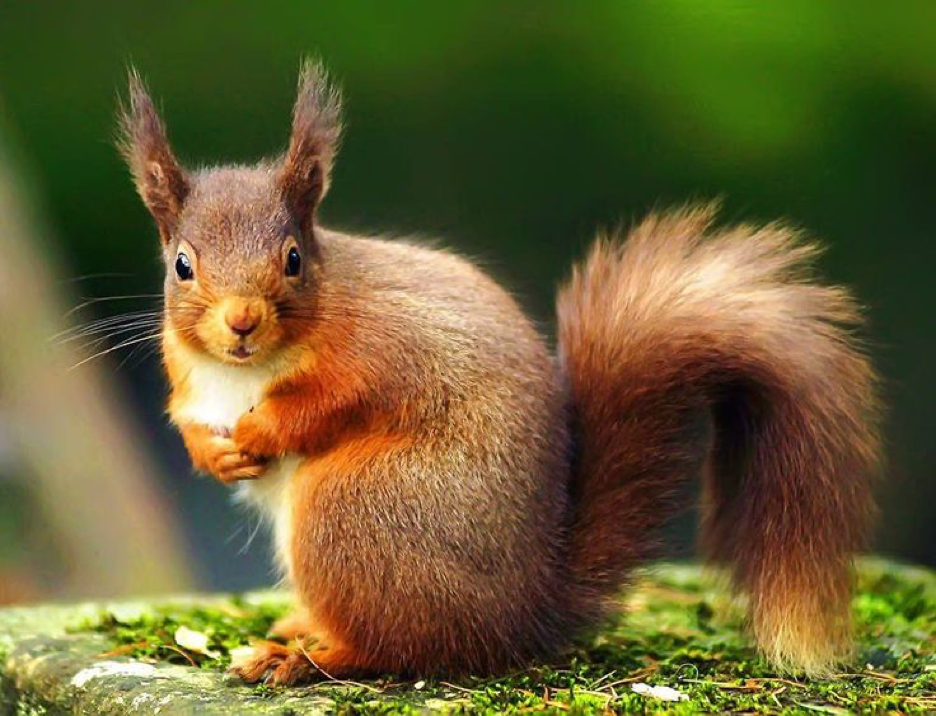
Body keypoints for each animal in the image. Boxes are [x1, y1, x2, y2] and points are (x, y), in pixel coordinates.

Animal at [118, 61, 880, 684]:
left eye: (294, 260)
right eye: (181, 265)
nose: (242, 322)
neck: (248, 369)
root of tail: (522, 613)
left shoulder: (381, 350)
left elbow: (332, 402)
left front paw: (261, 431)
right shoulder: (188, 376)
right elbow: (185, 415)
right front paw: (214, 453)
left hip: (355, 510)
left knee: (393, 647)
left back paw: (301, 656)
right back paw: (301, 626)